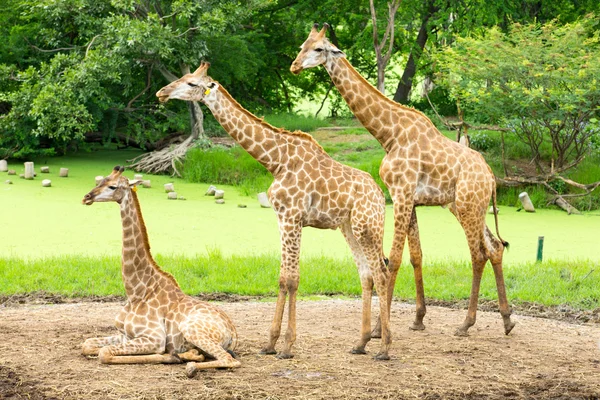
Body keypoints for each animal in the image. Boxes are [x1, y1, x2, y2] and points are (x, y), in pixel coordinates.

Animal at [82, 166, 241, 378]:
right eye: (101, 180)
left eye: (113, 186)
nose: (87, 197)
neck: (136, 292)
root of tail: (234, 333)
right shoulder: (124, 335)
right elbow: (87, 344)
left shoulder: (154, 338)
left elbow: (104, 353)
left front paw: (170, 355)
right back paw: (186, 355)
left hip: (191, 329)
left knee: (229, 359)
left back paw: (188, 364)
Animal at [156, 62, 394, 360]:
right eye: (182, 77)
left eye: (191, 83)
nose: (161, 93)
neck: (275, 160)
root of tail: (380, 194)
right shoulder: (282, 218)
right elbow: (282, 278)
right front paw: (270, 344)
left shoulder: (292, 216)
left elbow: (291, 279)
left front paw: (287, 346)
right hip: (349, 226)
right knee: (366, 274)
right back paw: (360, 343)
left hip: (367, 226)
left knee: (382, 273)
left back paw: (384, 348)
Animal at [292, 23, 516, 338]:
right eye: (302, 45)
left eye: (319, 48)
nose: (294, 66)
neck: (388, 134)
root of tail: (492, 177)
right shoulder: (411, 199)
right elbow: (416, 256)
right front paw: (418, 318)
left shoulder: (400, 193)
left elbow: (393, 258)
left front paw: (378, 328)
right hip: (468, 206)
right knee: (495, 247)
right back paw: (507, 320)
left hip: (468, 206)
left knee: (478, 254)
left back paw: (466, 323)